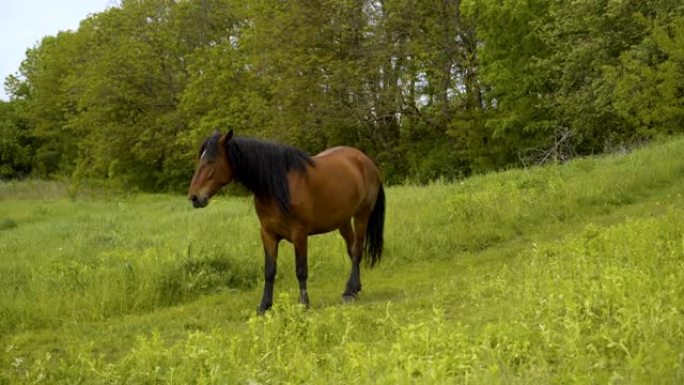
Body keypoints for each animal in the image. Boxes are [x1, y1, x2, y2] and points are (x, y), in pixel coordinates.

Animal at [187, 130, 384, 314]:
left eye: (211, 161)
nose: (194, 197)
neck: (279, 186)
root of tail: (366, 161)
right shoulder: (268, 234)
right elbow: (269, 270)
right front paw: (264, 306)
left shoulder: (300, 234)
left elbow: (301, 269)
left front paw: (303, 304)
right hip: (343, 221)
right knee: (352, 250)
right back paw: (354, 288)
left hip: (361, 216)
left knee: (357, 250)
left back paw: (350, 291)